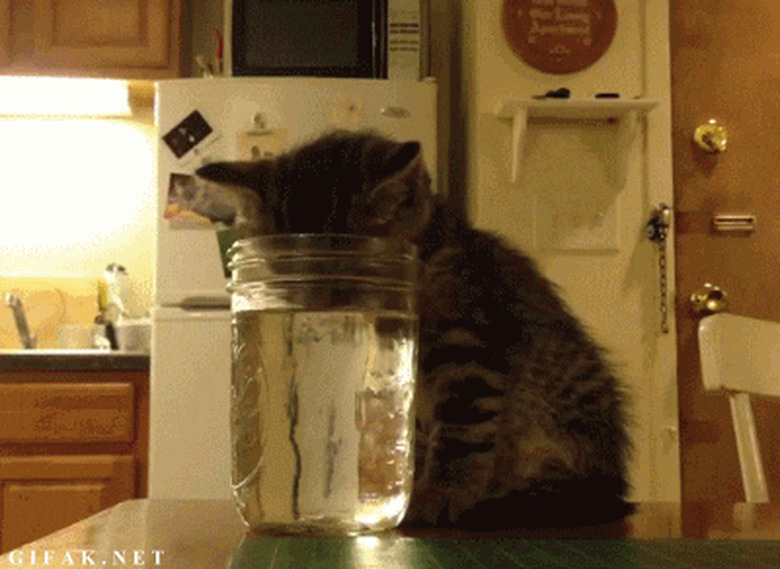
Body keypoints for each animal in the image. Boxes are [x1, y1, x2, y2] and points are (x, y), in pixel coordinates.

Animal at [197, 130, 632, 528]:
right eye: (283, 268)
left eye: (354, 272)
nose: (317, 310)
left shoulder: (468, 344)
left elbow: (462, 431)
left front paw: (443, 491)